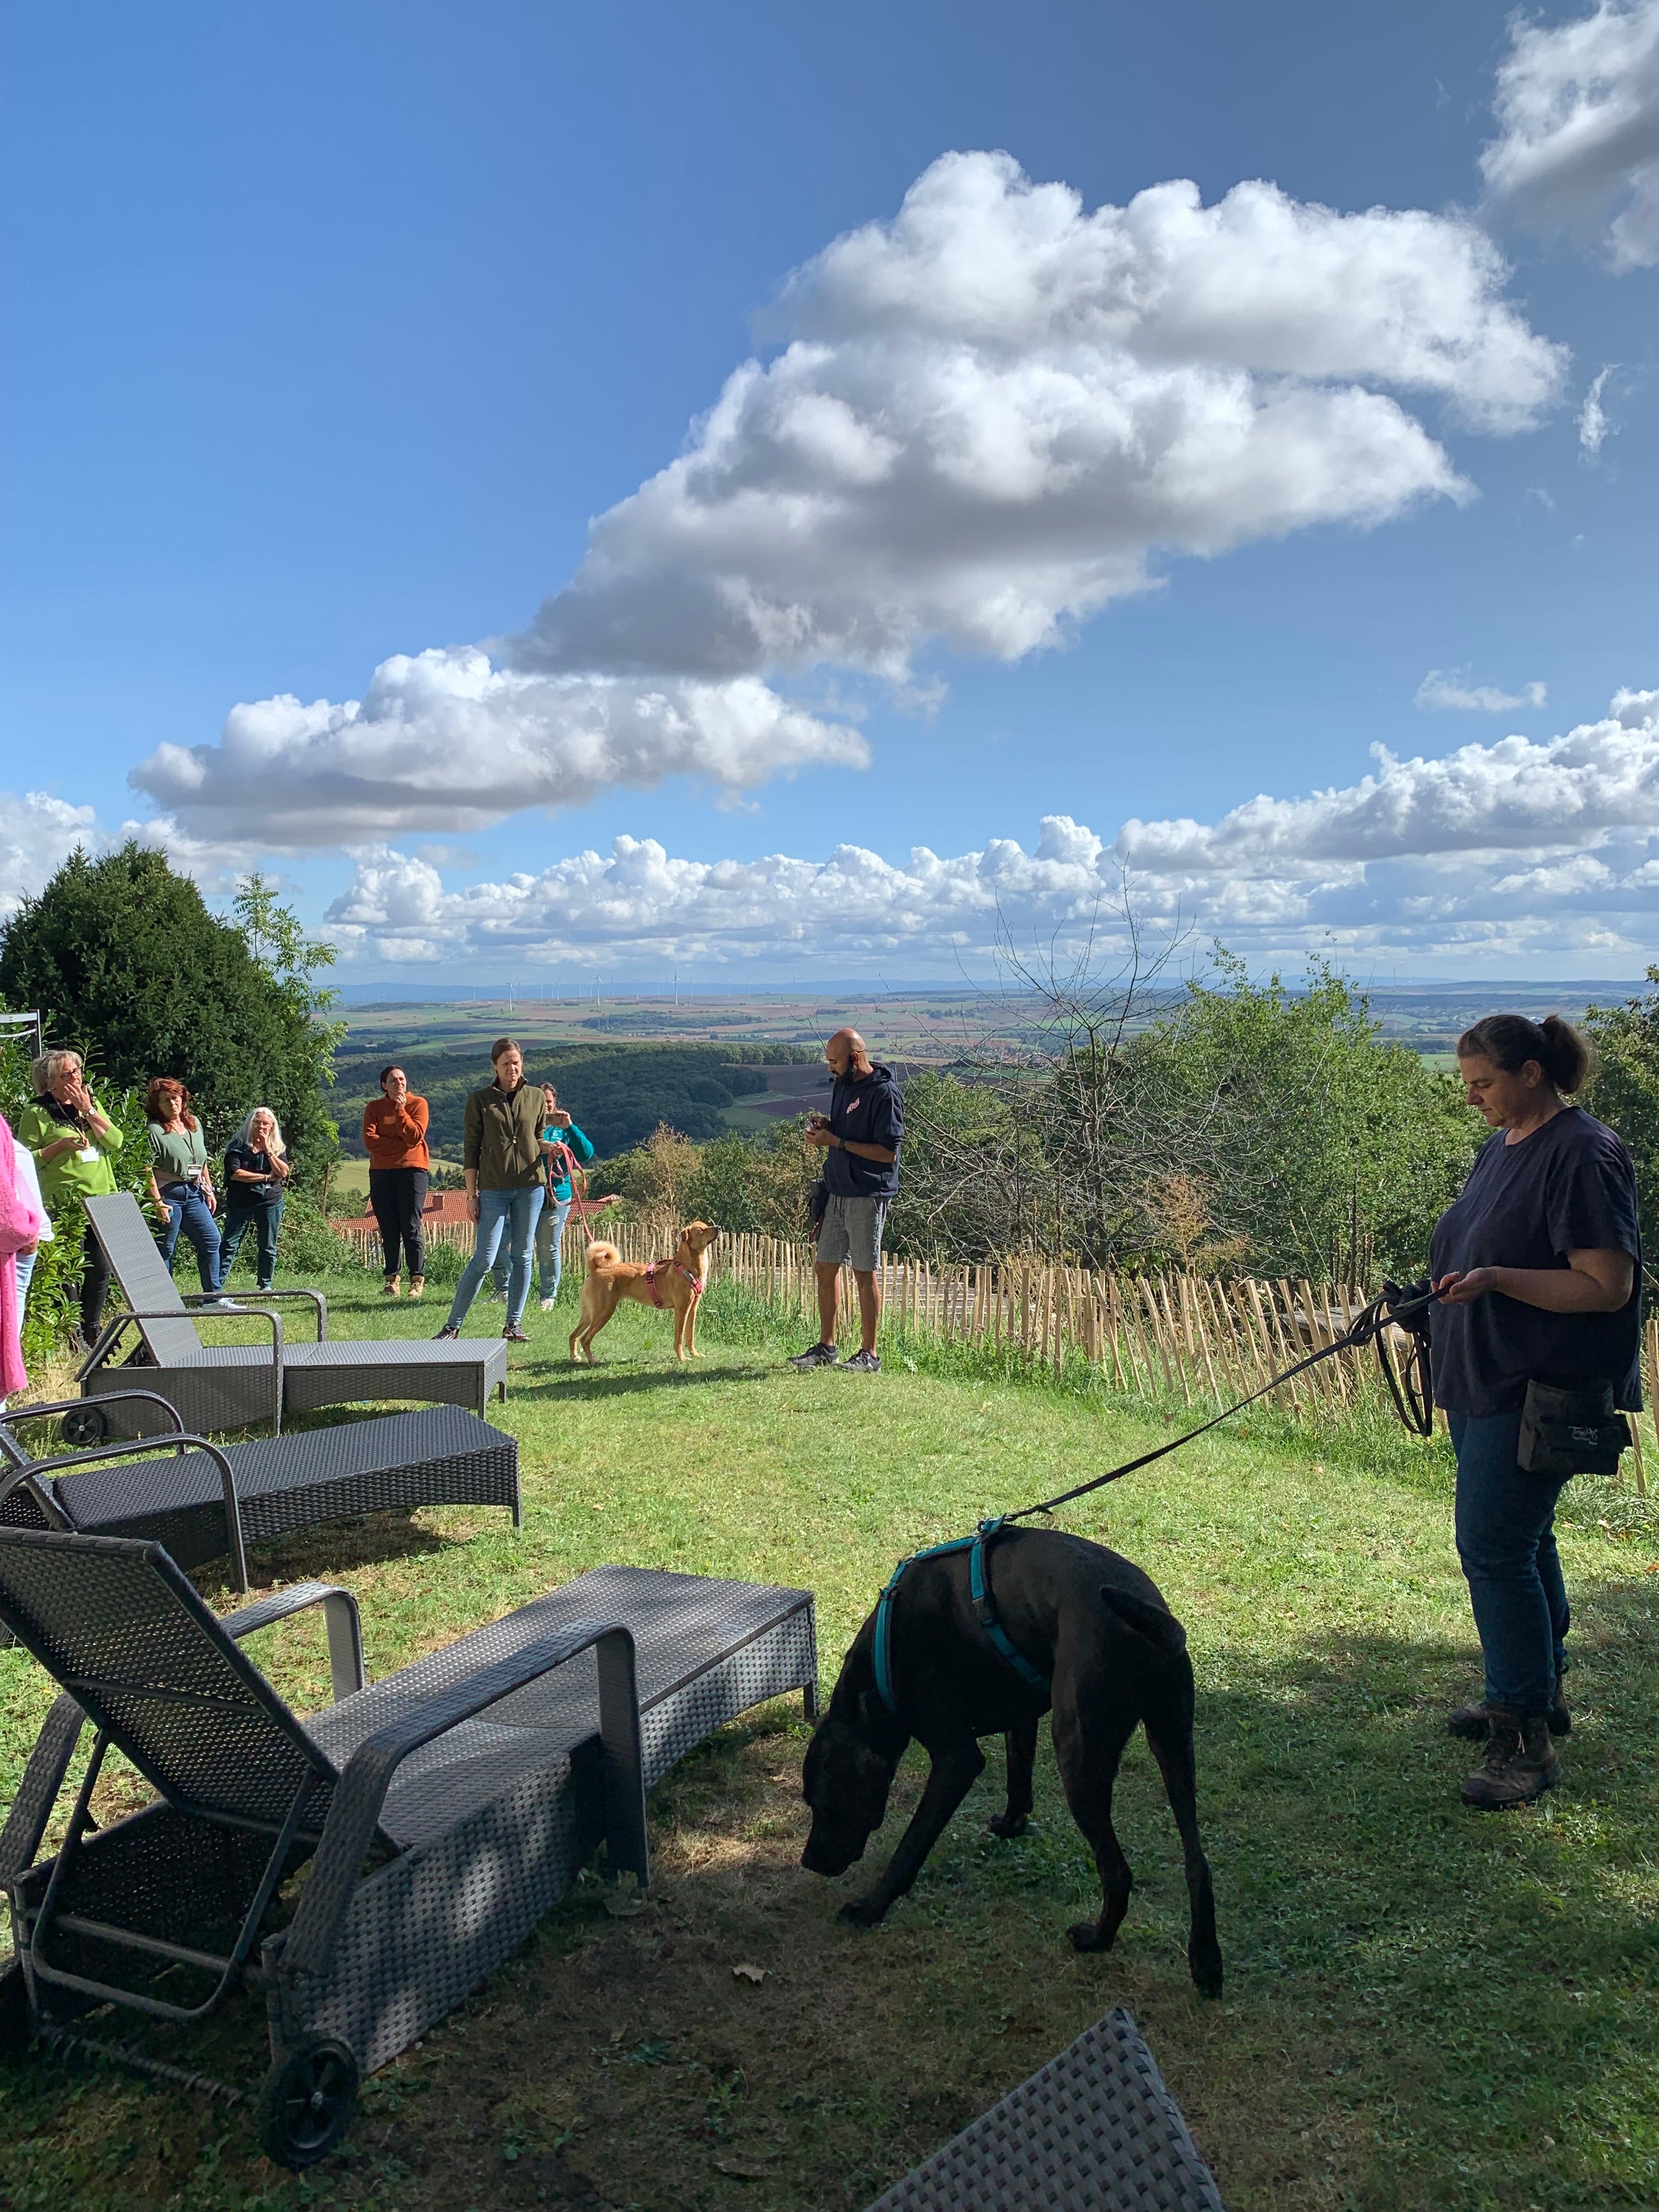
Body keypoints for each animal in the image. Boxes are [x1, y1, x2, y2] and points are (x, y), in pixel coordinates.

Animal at [571, 1221, 716, 1353]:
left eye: (706, 1225)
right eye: (700, 1230)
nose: (719, 1228)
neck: (689, 1267)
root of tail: (597, 1270)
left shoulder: (693, 1308)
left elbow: (690, 1336)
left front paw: (695, 1355)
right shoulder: (682, 1309)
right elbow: (679, 1339)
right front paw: (682, 1359)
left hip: (589, 1314)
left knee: (574, 1335)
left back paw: (575, 1357)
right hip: (603, 1312)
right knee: (585, 1339)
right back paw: (592, 1361)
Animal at [800, 1531, 1229, 1999]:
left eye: (823, 1803)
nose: (808, 1861)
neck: (884, 1661)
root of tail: (1150, 1617)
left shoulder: (956, 1760)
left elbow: (909, 1847)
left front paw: (871, 1908)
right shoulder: (1022, 1712)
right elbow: (1018, 1775)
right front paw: (1012, 1824)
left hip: (1080, 1760)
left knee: (1117, 1872)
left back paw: (1097, 1939)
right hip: (1173, 1743)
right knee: (1197, 1862)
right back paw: (1206, 1964)